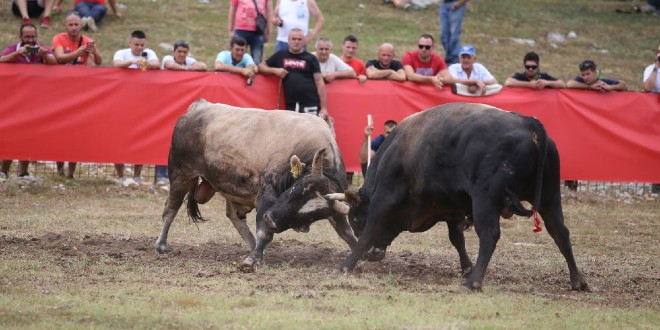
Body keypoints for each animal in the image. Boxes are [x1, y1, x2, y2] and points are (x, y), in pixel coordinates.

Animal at [328, 102, 592, 292]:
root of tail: (529, 123)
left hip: (486, 199)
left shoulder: (384, 199)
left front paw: (345, 266)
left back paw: (473, 283)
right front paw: (466, 267)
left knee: (490, 235)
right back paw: (578, 281)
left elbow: (370, 231)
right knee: (560, 233)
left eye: (355, 219)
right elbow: (457, 238)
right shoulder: (450, 207)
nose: (373, 255)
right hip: (550, 196)